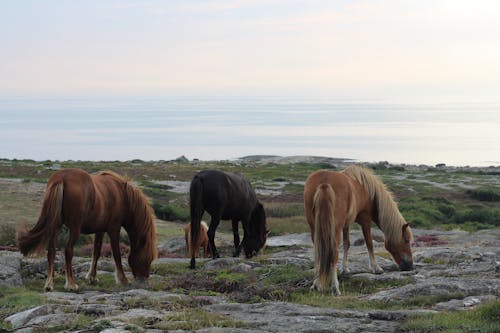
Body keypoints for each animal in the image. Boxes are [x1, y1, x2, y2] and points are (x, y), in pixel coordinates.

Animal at [18, 167, 157, 290]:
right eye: (147, 258)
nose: (143, 280)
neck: (123, 195)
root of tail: (61, 178)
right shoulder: (114, 229)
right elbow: (116, 254)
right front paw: (123, 279)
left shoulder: (100, 230)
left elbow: (96, 251)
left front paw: (92, 277)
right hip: (75, 228)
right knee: (68, 250)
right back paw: (71, 284)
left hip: (55, 226)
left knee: (51, 251)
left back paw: (49, 284)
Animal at [304, 165, 414, 294]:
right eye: (406, 240)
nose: (410, 266)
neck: (368, 191)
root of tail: (324, 183)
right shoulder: (365, 221)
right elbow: (369, 243)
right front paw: (376, 268)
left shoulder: (346, 225)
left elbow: (347, 244)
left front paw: (345, 269)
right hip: (335, 228)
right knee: (334, 253)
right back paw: (335, 287)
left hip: (315, 227)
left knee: (318, 251)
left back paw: (316, 284)